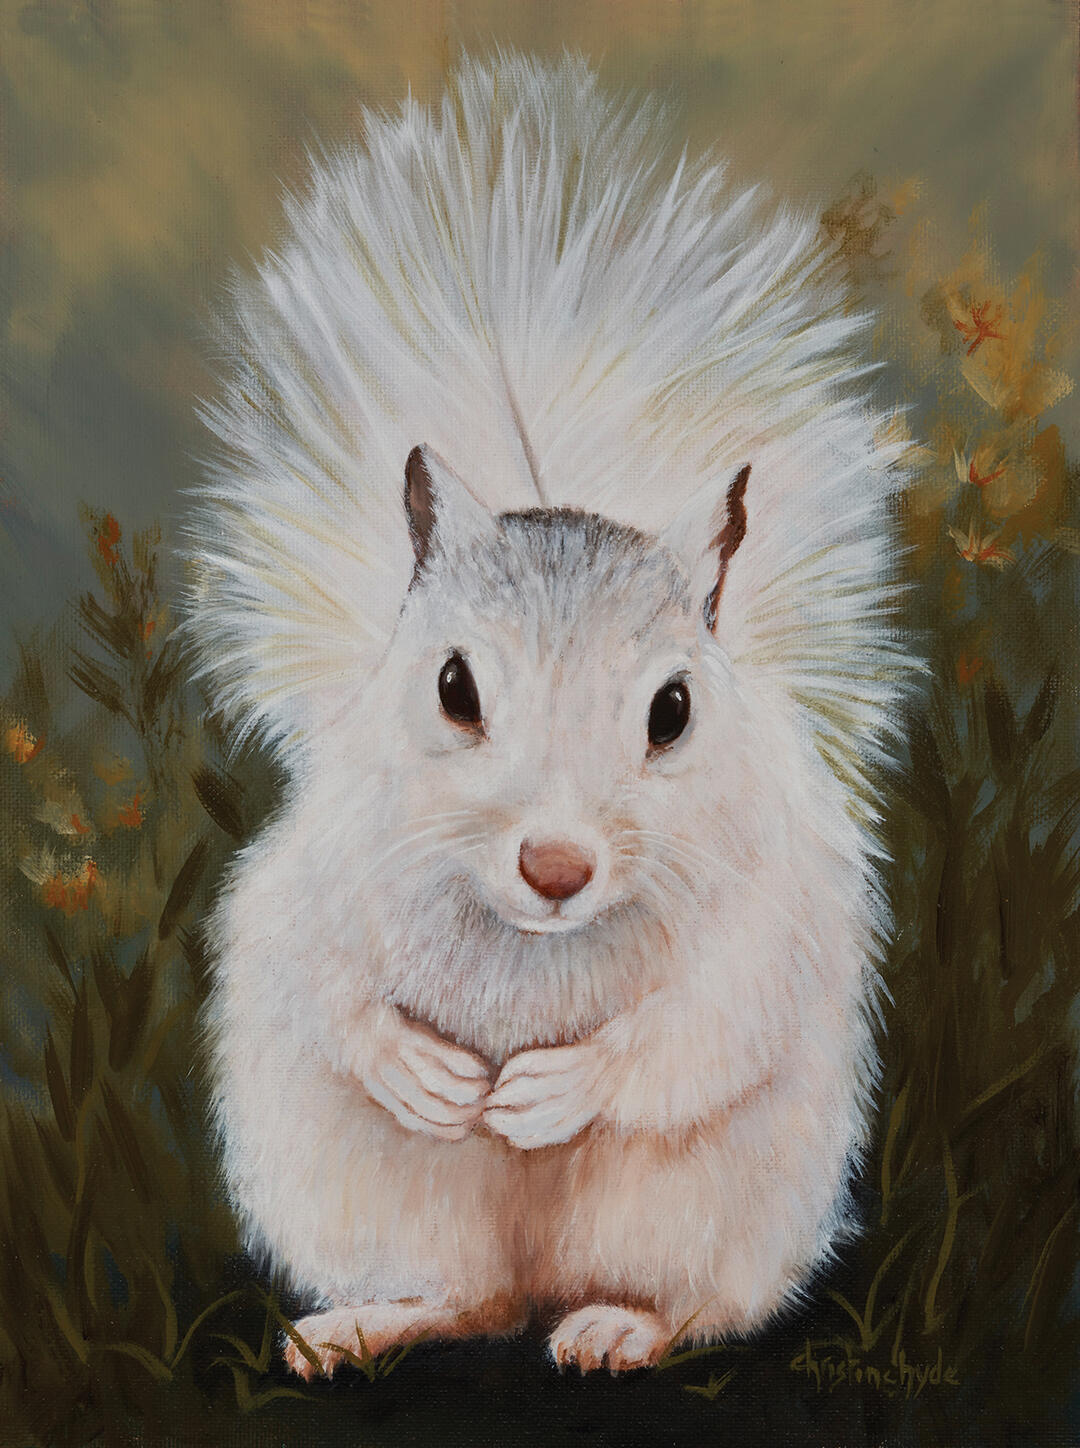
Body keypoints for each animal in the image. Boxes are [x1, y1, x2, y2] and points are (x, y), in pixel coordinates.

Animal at [183, 51, 913, 1376]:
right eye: (453, 687)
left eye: (673, 709)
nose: (558, 865)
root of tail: (540, 1277)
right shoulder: (313, 864)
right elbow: (309, 967)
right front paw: (419, 1065)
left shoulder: (775, 910)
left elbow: (710, 1016)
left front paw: (554, 1087)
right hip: (370, 1180)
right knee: (471, 1297)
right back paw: (363, 1323)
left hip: (698, 1202)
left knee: (694, 1304)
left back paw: (617, 1326)